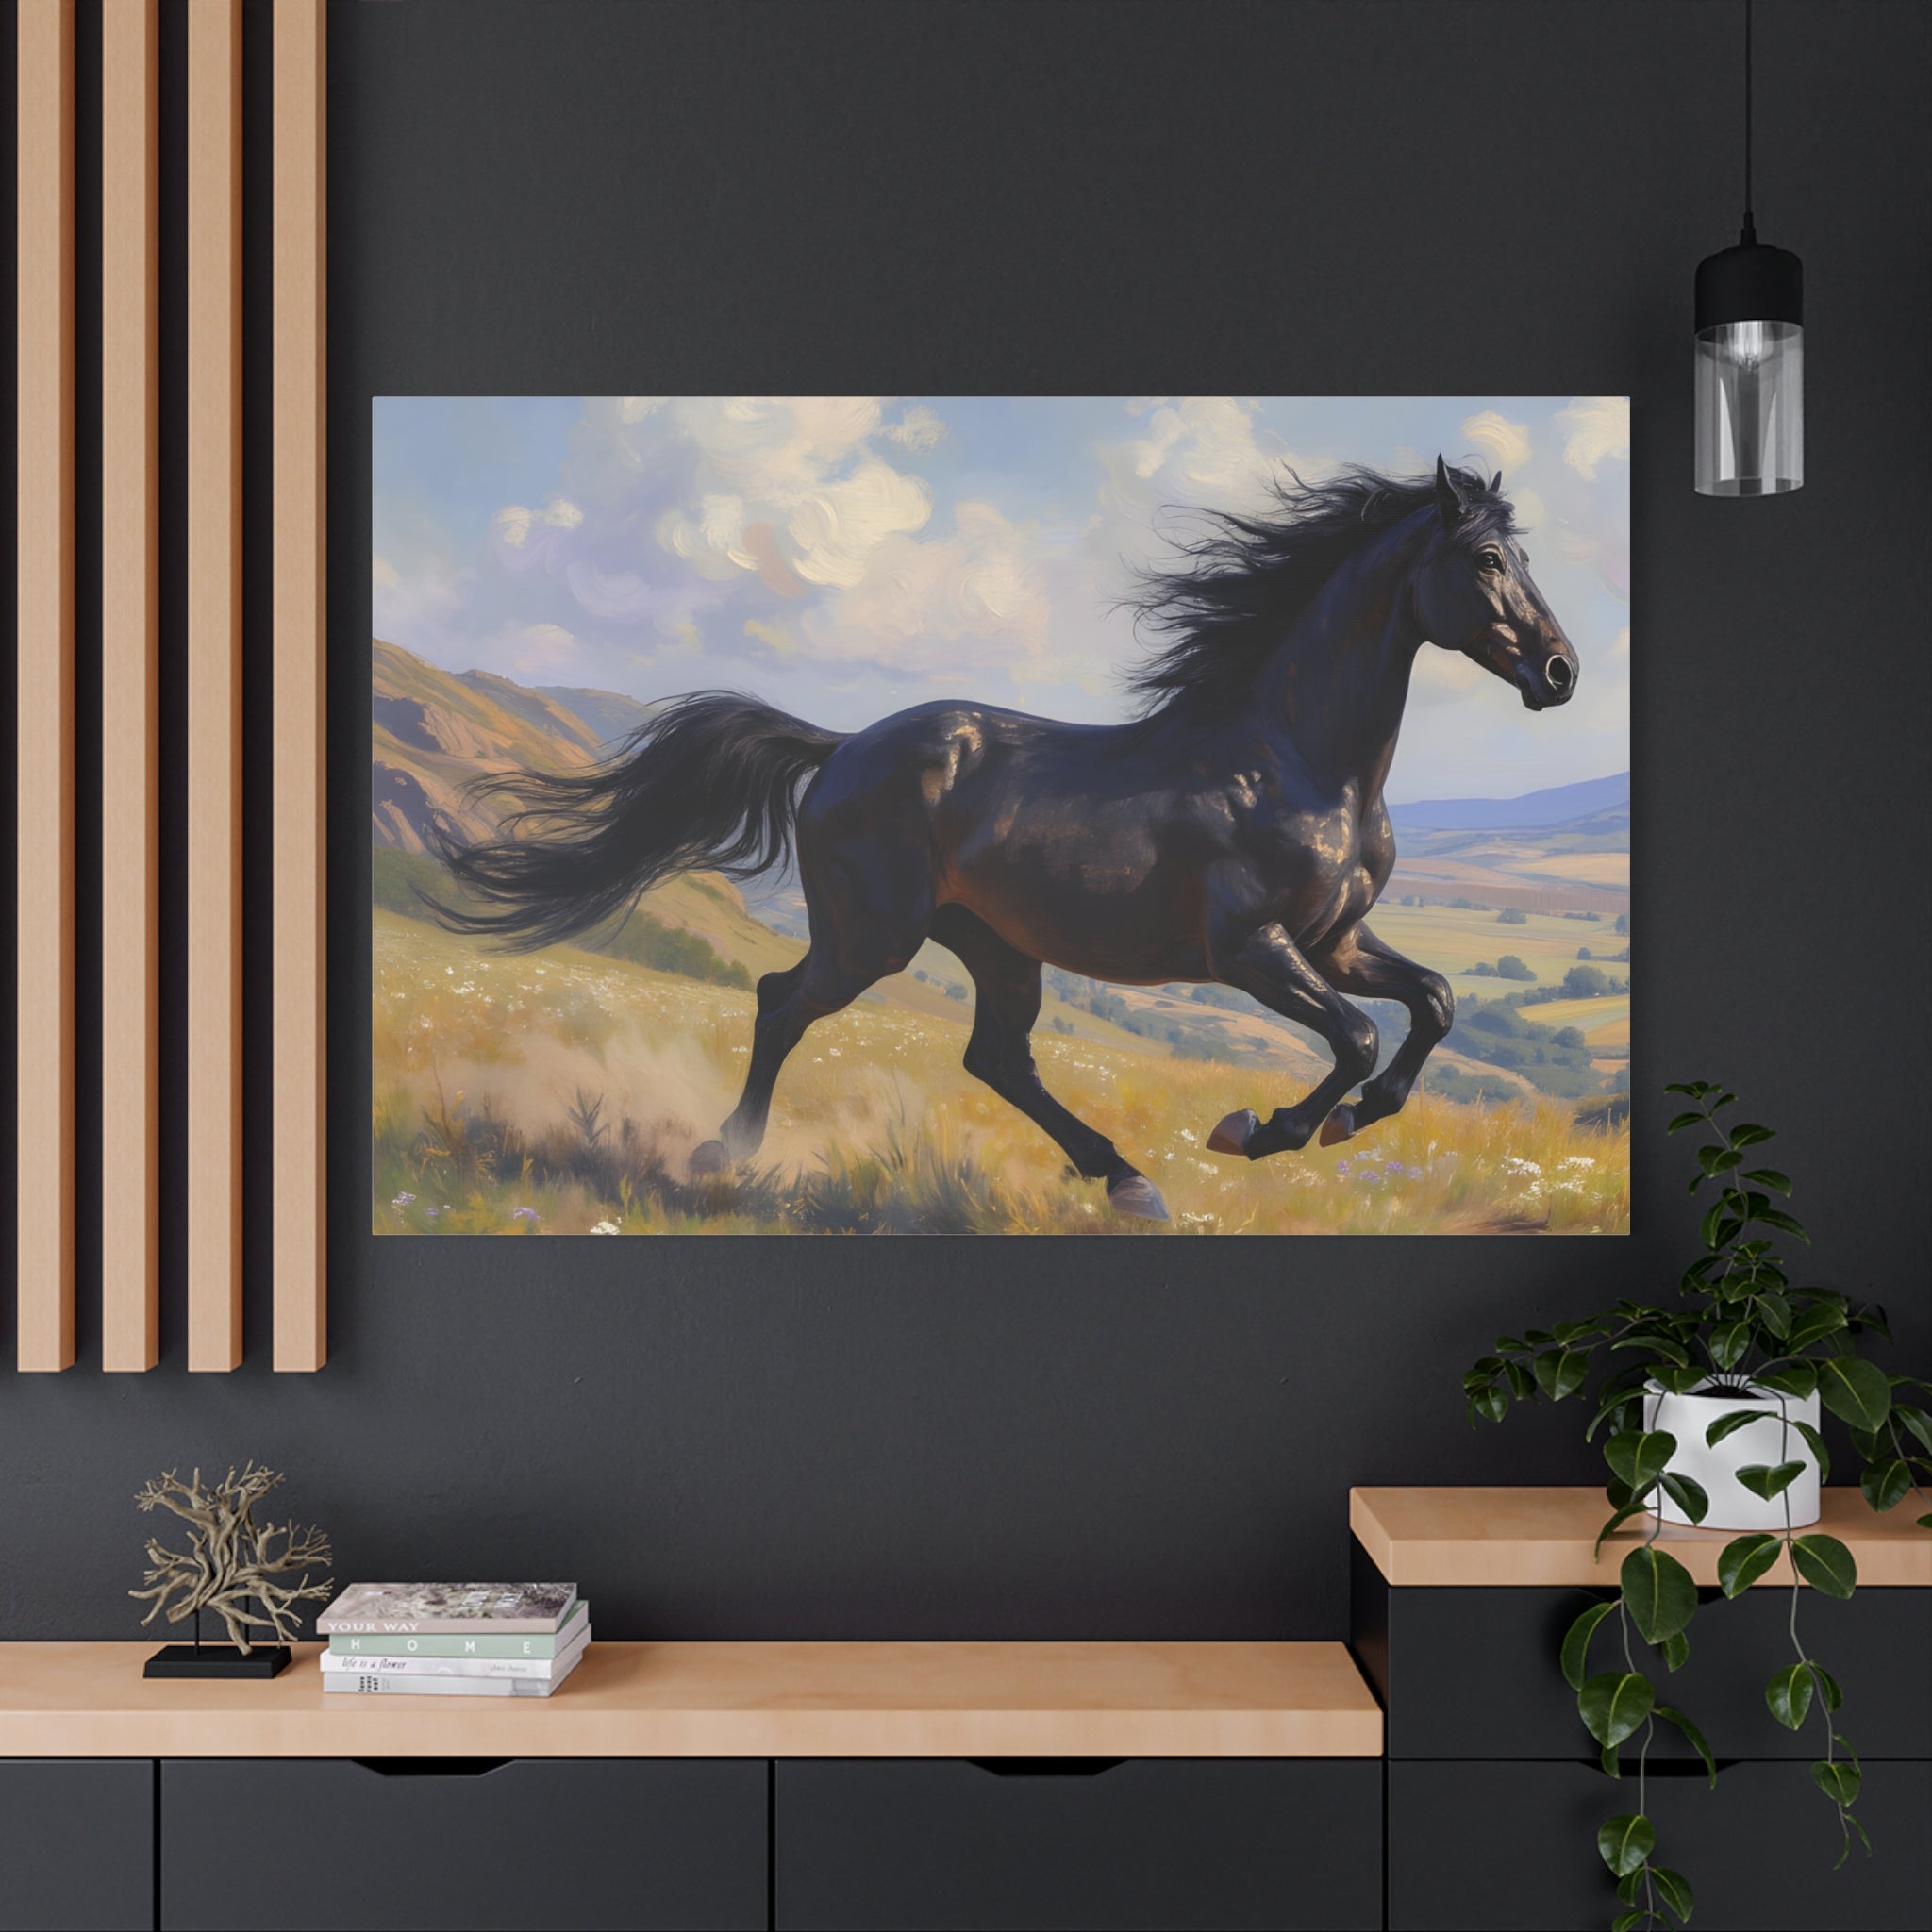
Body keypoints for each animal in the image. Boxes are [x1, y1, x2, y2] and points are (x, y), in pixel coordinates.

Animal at [429, 457, 1578, 1222]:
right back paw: (726, 1152)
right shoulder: (1251, 949)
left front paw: (1342, 1120)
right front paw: (1263, 1130)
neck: (1295, 757)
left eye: (1524, 555)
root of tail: (841, 746)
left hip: (994, 945)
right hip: (873, 934)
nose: (1561, 672)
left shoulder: (1336, 940)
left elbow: (1433, 1003)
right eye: (1487, 558)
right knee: (782, 1002)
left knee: (995, 1055)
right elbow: (1355, 1036)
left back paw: (1127, 1179)